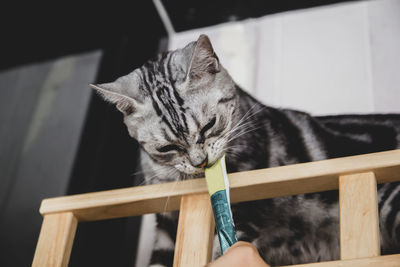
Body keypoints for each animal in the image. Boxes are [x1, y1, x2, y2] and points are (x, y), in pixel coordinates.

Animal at [91, 35, 400, 267]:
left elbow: (224, 246)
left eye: (209, 125)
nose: (199, 162)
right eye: (167, 147)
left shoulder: (245, 213)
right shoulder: (167, 231)